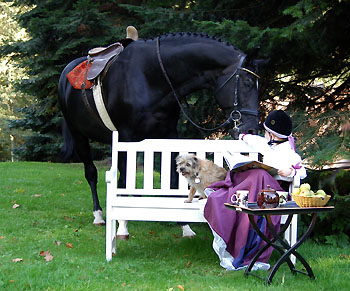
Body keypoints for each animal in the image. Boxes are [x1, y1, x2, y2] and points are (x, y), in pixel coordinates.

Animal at [58, 32, 260, 226]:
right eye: (248, 83)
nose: (251, 130)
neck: (151, 77)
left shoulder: (168, 135)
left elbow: (171, 177)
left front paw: (183, 224)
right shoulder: (126, 136)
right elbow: (123, 178)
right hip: (79, 136)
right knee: (91, 173)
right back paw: (98, 215)